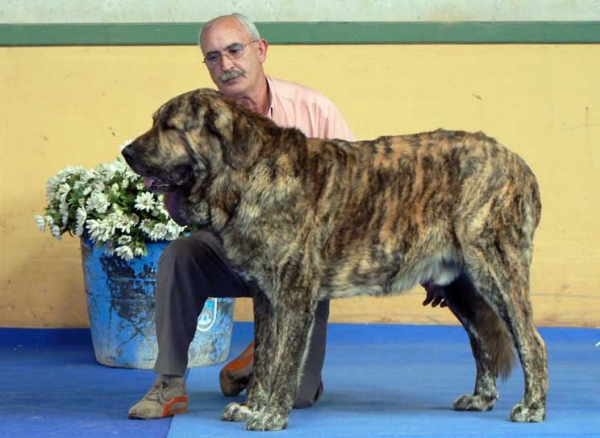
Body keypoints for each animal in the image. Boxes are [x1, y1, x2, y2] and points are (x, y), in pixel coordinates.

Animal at [122, 87, 548, 430]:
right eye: (155, 122)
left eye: (170, 127)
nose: (126, 152)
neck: (248, 175)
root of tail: (520, 165)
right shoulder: (266, 297)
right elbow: (265, 360)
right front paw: (252, 407)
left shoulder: (294, 295)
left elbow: (284, 364)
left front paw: (271, 416)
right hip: (459, 284)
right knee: (482, 340)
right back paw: (482, 398)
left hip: (496, 270)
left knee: (532, 341)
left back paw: (532, 407)